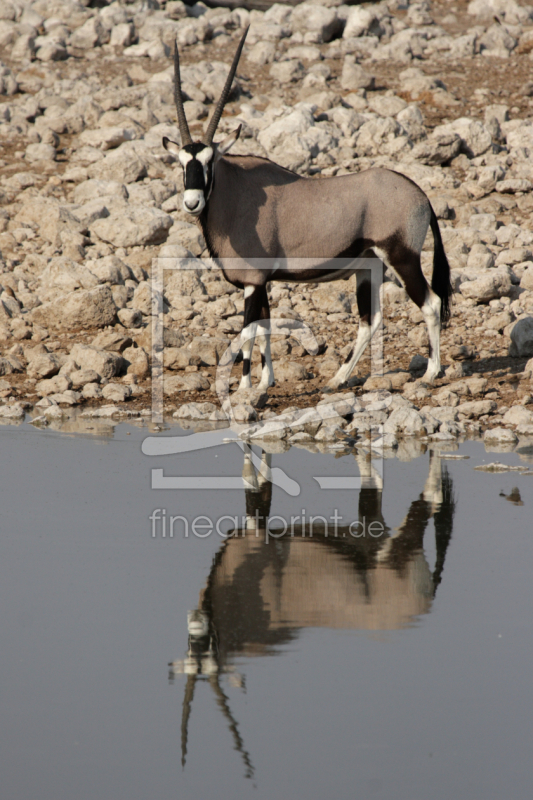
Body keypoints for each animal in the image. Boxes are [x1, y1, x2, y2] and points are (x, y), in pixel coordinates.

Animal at [161, 28, 448, 394]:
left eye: (210, 161)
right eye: (182, 163)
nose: (192, 202)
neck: (236, 193)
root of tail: (421, 196)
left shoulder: (252, 282)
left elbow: (248, 331)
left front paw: (243, 388)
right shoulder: (263, 282)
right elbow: (266, 327)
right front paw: (266, 381)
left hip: (402, 258)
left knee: (431, 303)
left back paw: (431, 372)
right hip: (368, 268)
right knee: (370, 320)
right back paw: (337, 378)